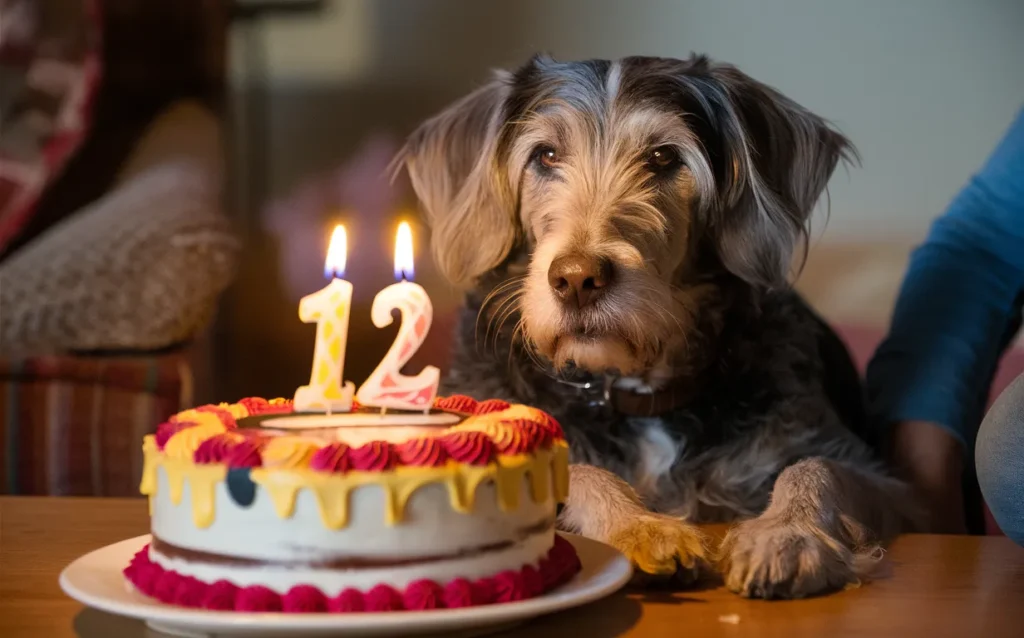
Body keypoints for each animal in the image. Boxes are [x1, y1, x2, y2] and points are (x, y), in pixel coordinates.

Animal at [393, 54, 921, 598]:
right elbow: (578, 469)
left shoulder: (889, 486)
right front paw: (643, 527)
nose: (576, 278)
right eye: (546, 154)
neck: (631, 389)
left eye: (664, 157)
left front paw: (786, 534)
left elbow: (815, 468)